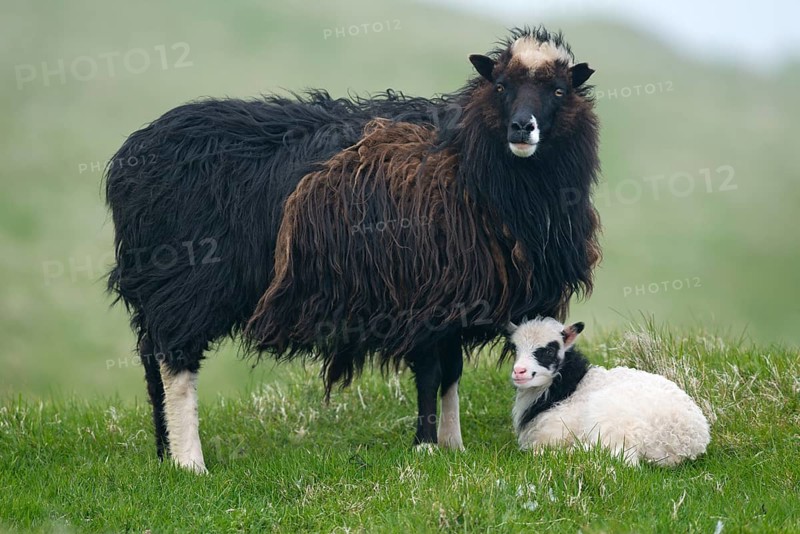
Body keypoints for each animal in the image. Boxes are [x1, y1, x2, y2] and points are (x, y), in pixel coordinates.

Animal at [106, 26, 601, 472]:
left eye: (559, 90)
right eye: (500, 86)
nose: (522, 127)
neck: (467, 162)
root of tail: (132, 156)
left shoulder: (454, 297)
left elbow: (452, 372)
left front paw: (453, 445)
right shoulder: (422, 291)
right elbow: (431, 373)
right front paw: (425, 446)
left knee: (151, 362)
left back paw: (163, 452)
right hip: (187, 282)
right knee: (176, 364)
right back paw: (190, 462)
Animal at [508, 318, 710, 466]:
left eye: (549, 351)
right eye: (515, 349)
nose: (519, 371)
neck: (570, 386)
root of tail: (685, 445)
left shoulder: (556, 432)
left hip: (613, 420)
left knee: (619, 456)